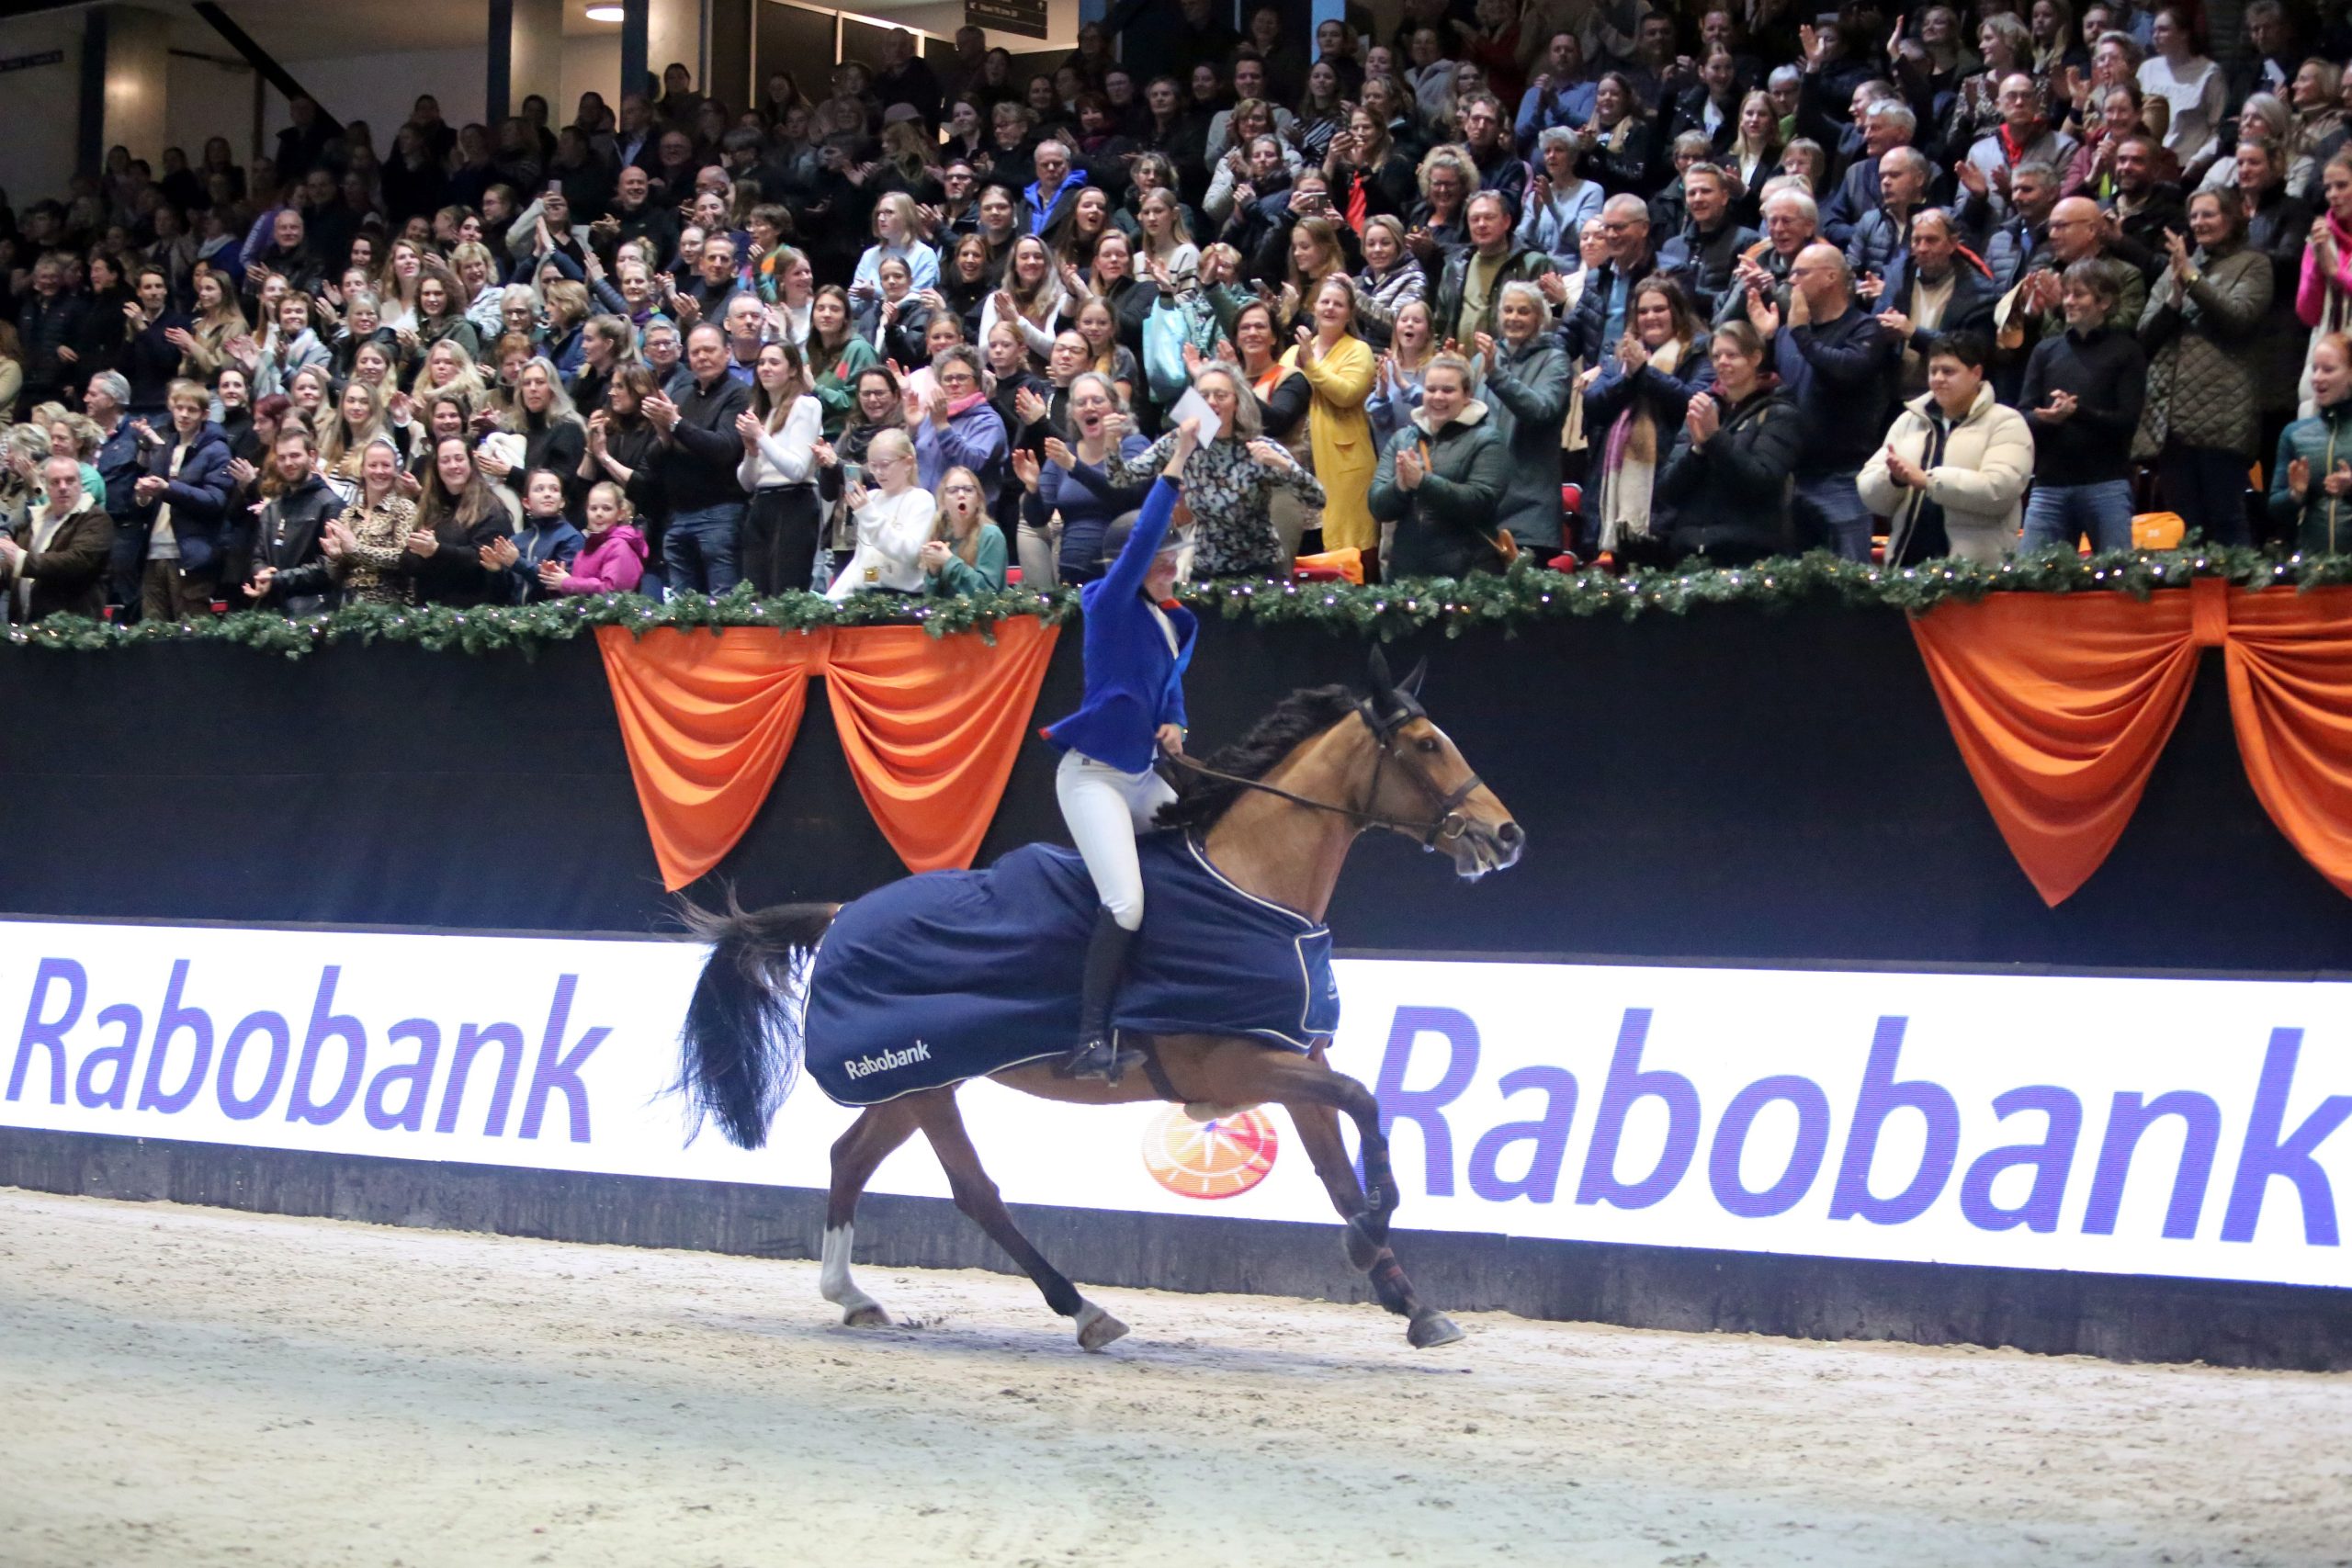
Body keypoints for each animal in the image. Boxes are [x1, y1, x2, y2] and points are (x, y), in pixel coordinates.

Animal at [677, 649, 1523, 1354]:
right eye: (1426, 745)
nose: (1506, 835)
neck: (1253, 885)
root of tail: (841, 912)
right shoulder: (1235, 1068)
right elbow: (1366, 1105)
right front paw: (1373, 1235)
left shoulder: (1294, 1059)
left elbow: (1342, 1163)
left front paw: (1411, 1300)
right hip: (923, 1082)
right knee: (974, 1191)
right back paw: (1084, 1310)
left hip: (915, 1082)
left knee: (850, 1156)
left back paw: (852, 1296)